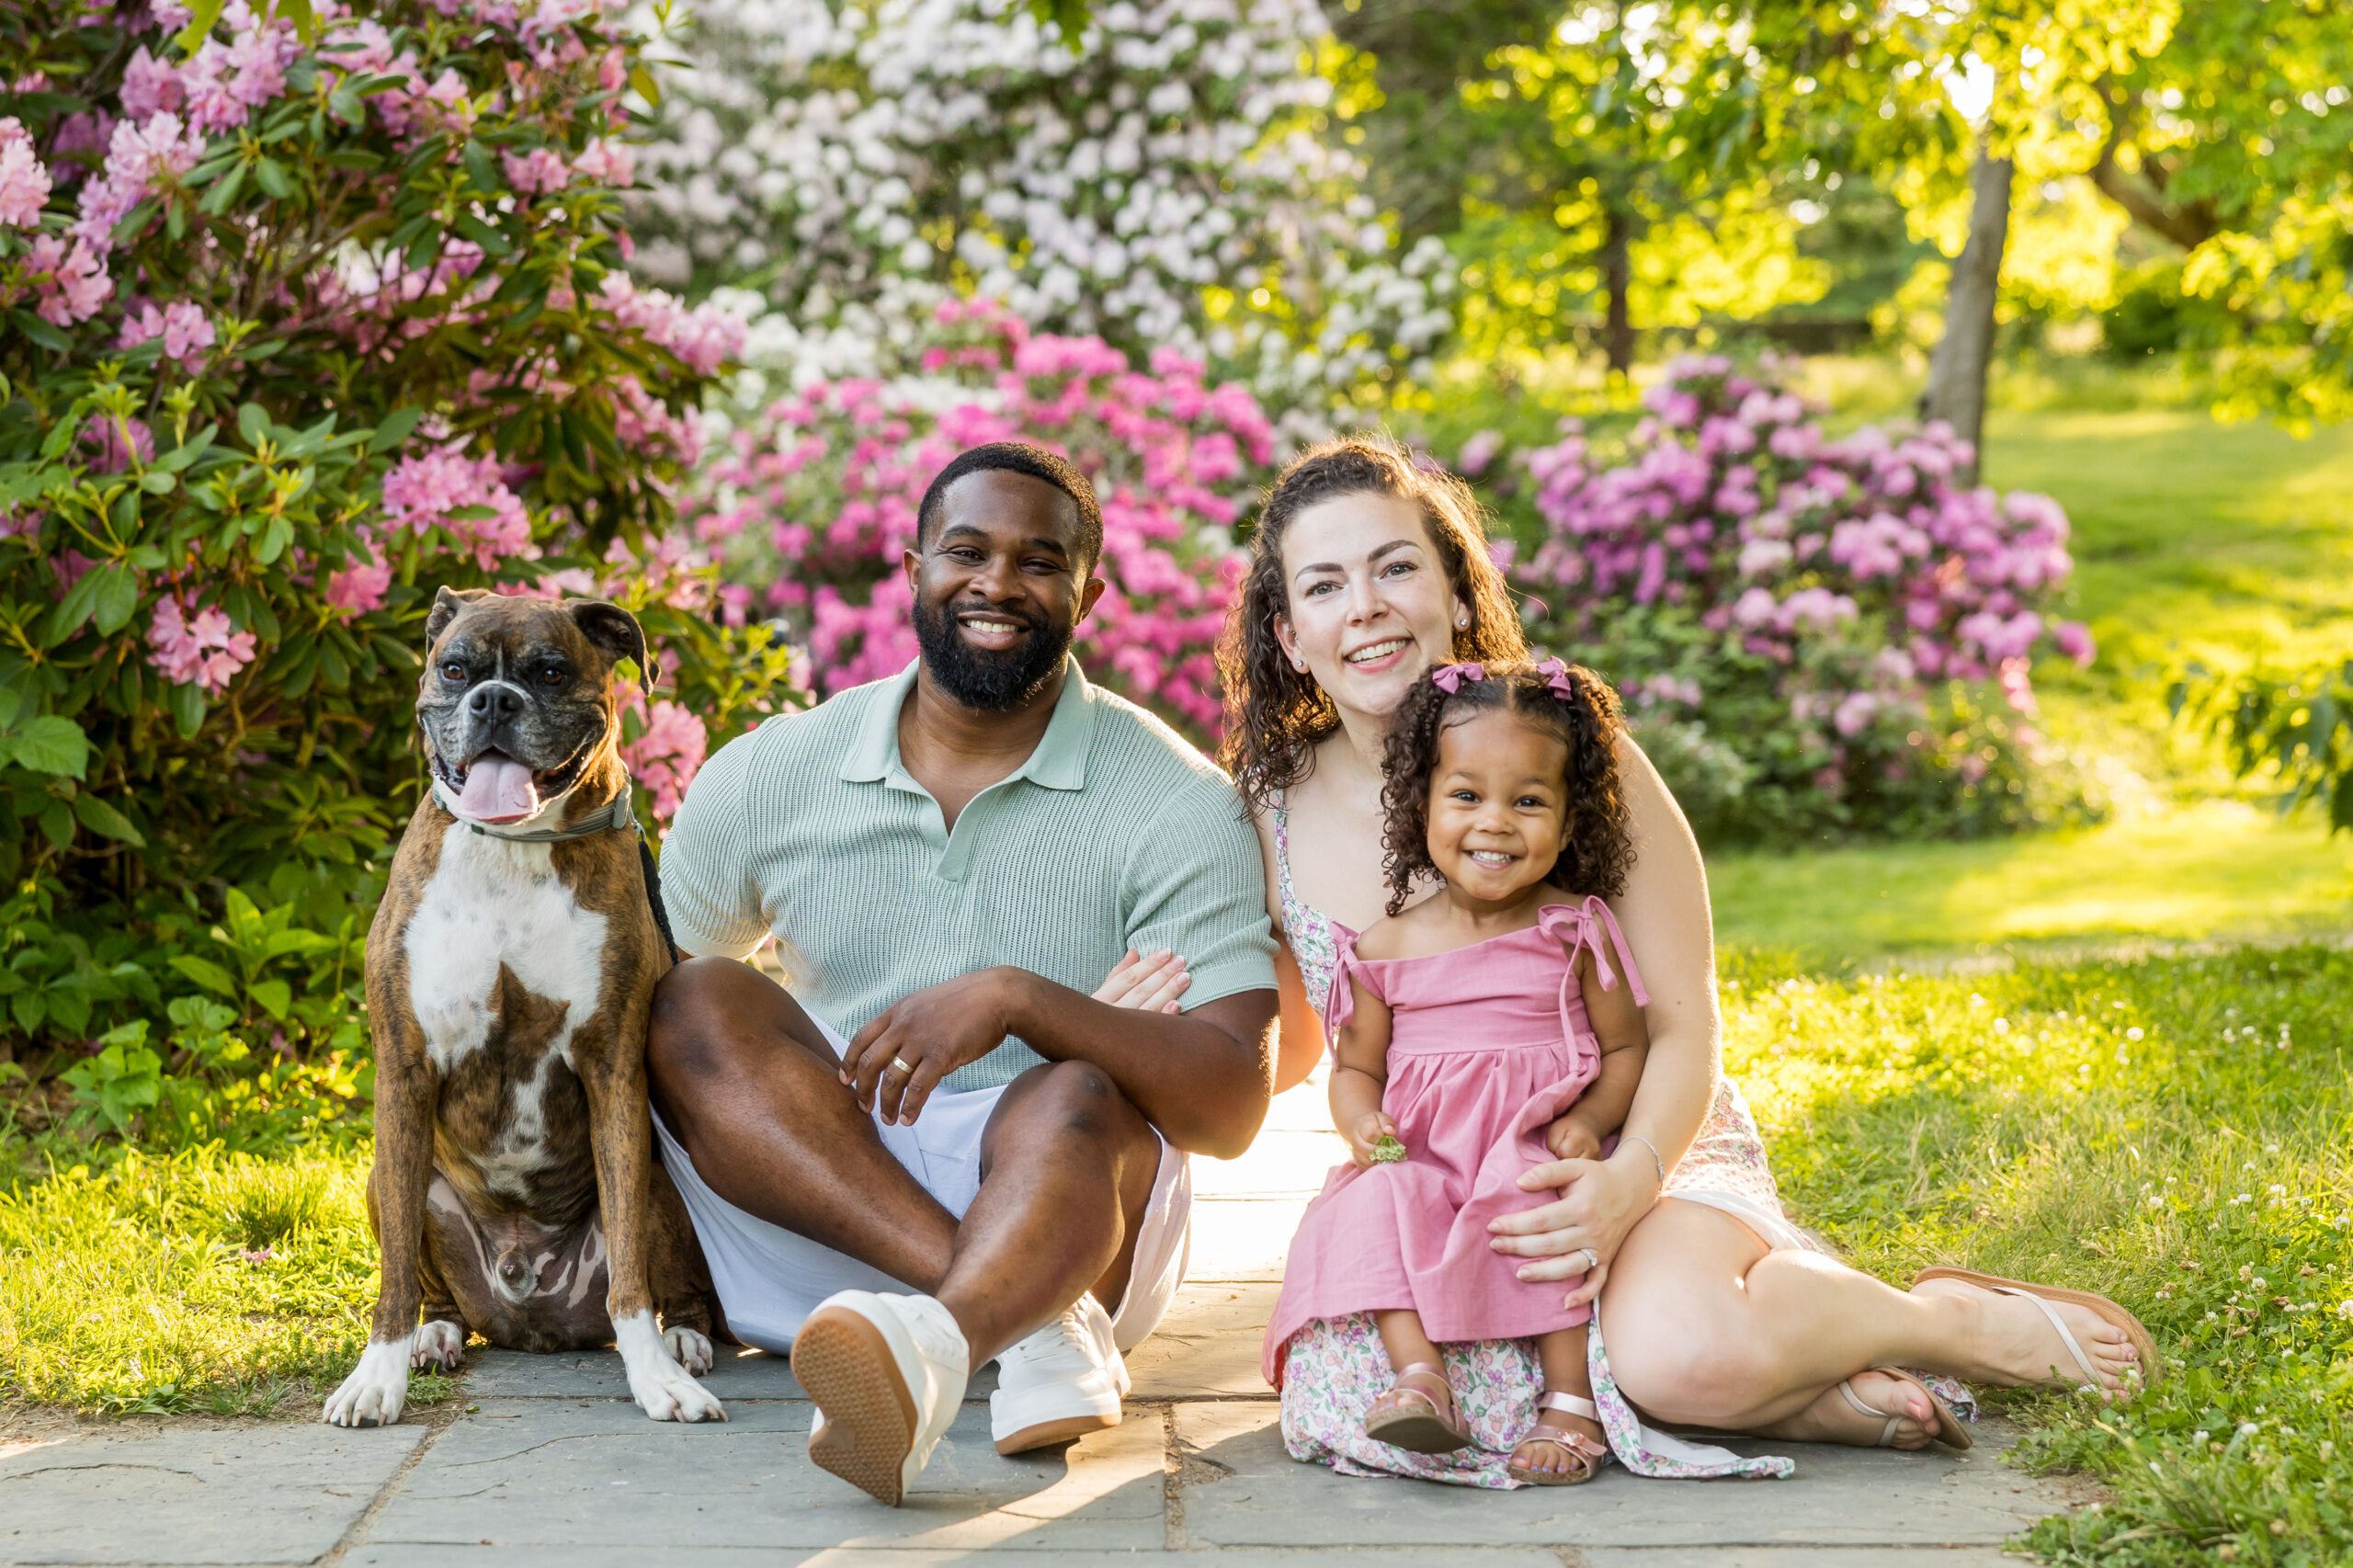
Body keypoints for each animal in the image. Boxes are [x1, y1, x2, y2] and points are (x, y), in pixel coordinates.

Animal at [324, 585, 724, 1431]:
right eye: (455, 668)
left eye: (549, 672)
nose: (496, 700)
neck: (512, 848)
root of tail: (526, 1307)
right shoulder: (403, 1072)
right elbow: (393, 1277)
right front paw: (376, 1377)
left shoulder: (612, 1069)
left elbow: (631, 1275)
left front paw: (656, 1378)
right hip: (386, 1179)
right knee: (428, 1282)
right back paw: (434, 1336)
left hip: (663, 1182)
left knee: (674, 1286)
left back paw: (685, 1341)